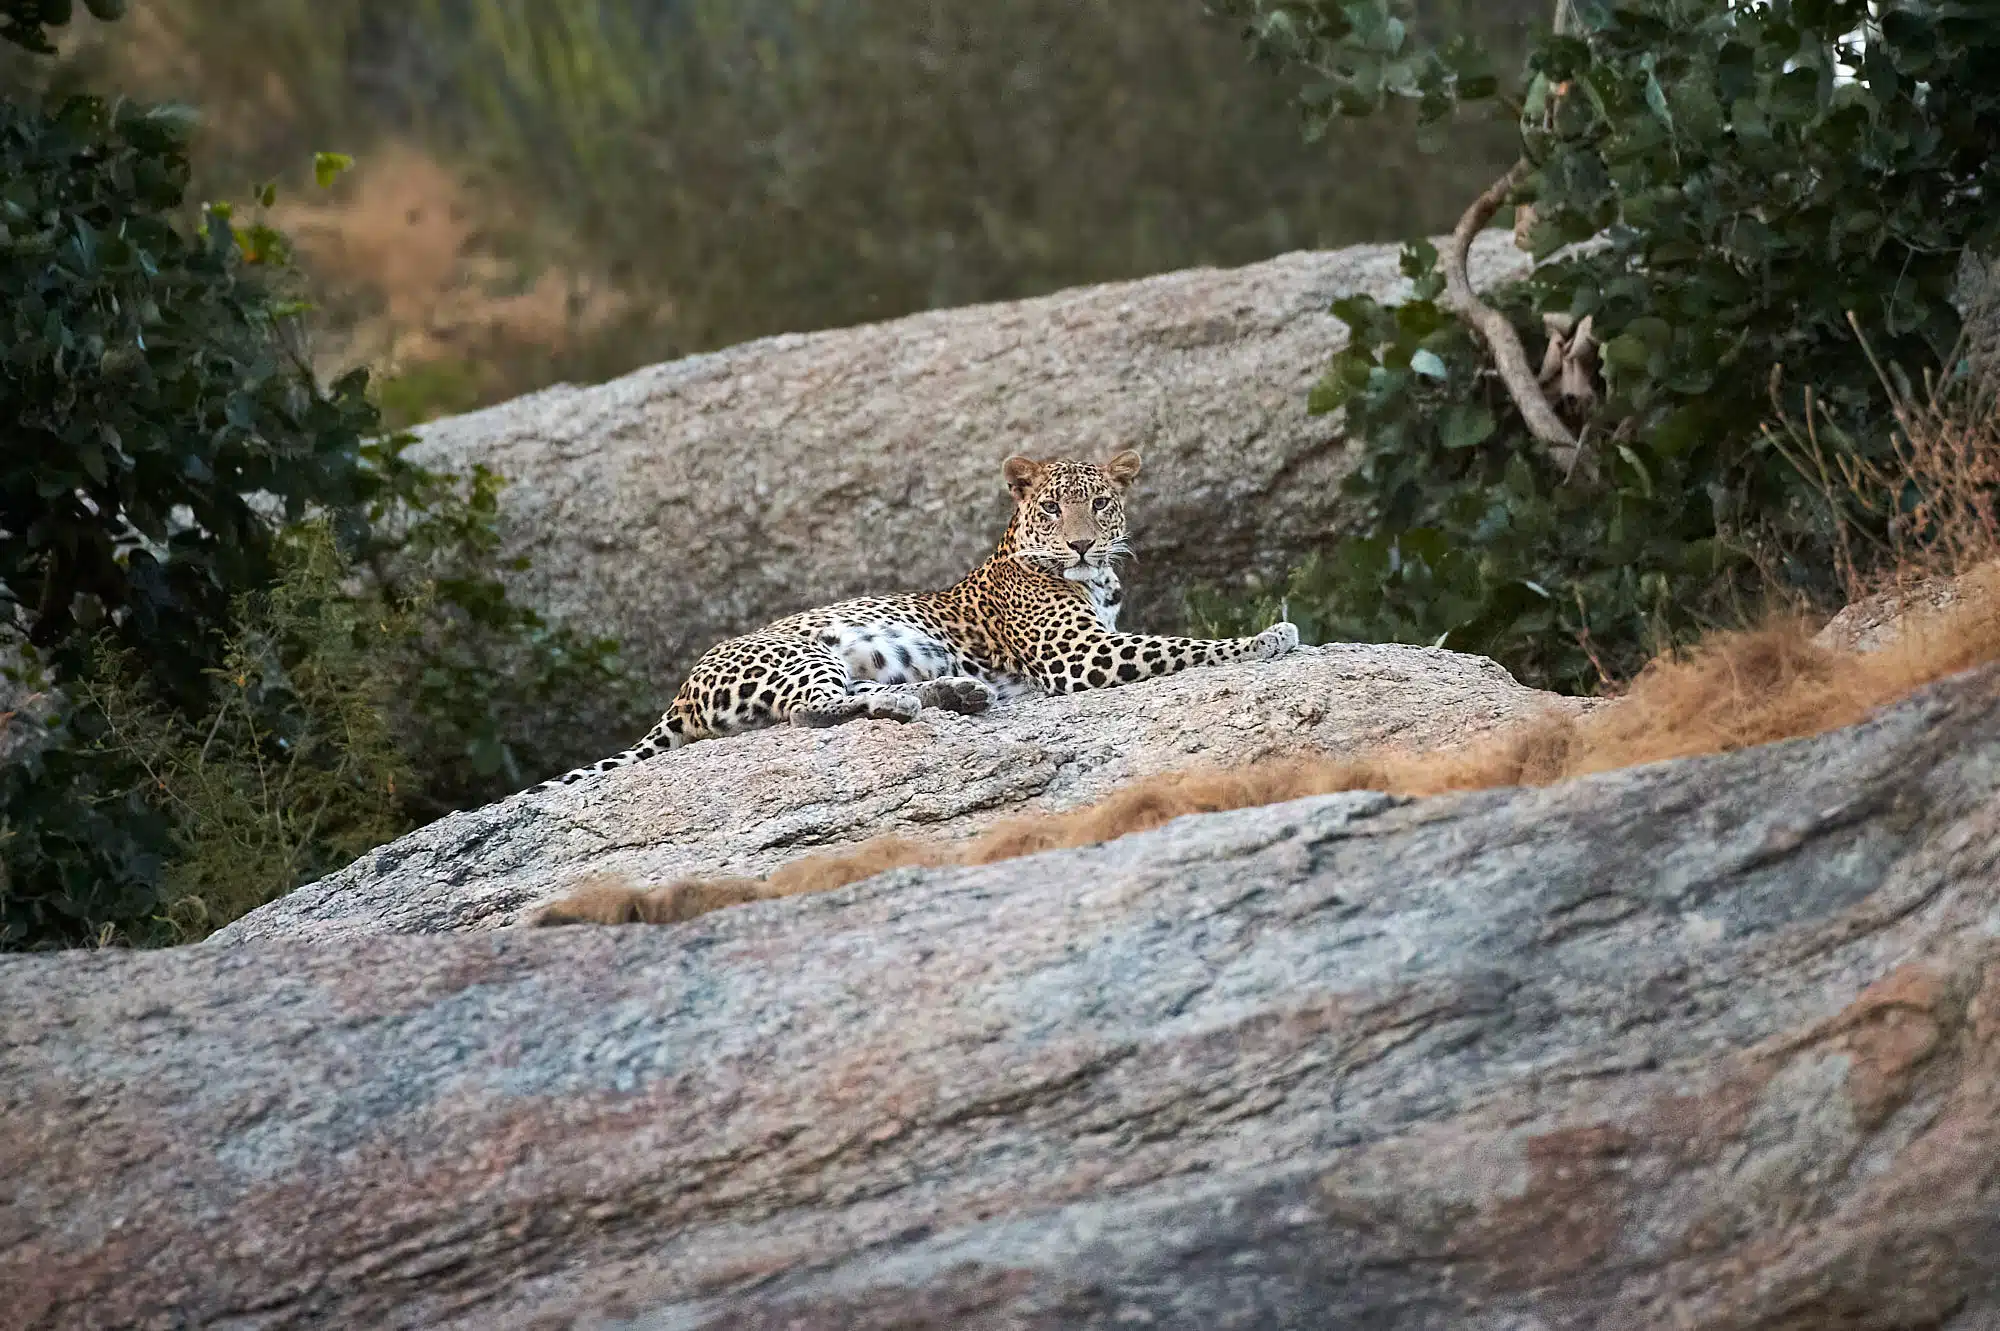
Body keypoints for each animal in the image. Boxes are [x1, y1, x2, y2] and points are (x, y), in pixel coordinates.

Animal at [532, 449, 1299, 789]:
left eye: (1101, 503)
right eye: (1053, 508)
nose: (1082, 542)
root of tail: (682, 690)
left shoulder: (1098, 638)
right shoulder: (1081, 655)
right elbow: (1184, 644)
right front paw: (1269, 636)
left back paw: (957, 692)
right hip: (805, 652)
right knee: (812, 711)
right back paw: (925, 699)